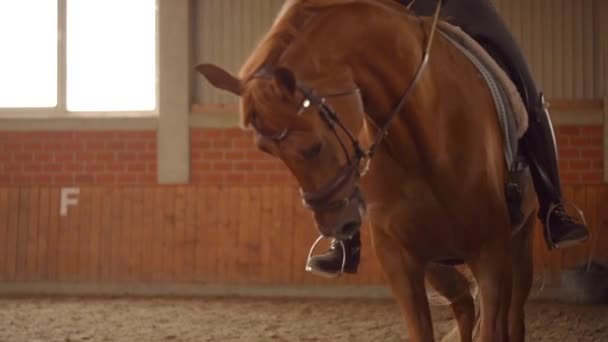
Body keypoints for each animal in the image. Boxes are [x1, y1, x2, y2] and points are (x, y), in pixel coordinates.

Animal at [197, 1, 536, 340]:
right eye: (267, 151)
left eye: (313, 147)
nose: (338, 226)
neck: (421, 143)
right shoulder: (400, 261)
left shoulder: (491, 256)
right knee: (463, 303)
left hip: (519, 245)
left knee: (512, 317)